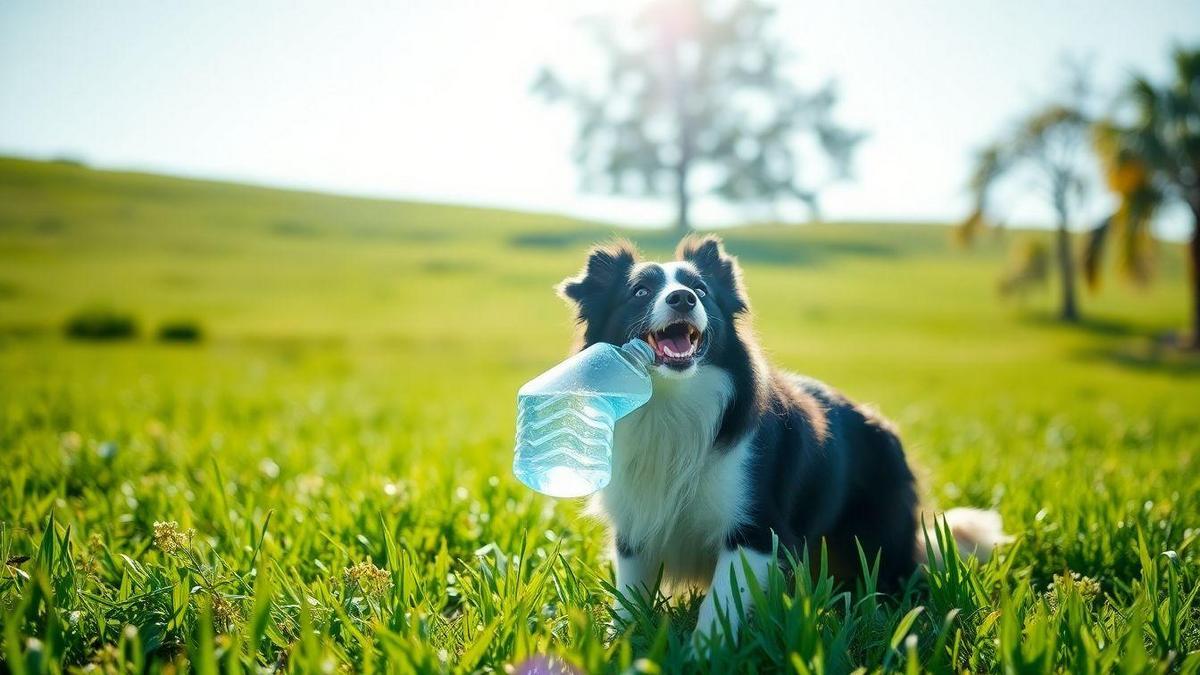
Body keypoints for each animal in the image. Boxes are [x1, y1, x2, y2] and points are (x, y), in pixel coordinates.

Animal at [556, 234, 1008, 643]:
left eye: (701, 291)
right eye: (640, 291)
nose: (683, 299)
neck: (672, 402)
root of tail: (883, 425)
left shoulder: (756, 530)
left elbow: (717, 609)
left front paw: (703, 655)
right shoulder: (636, 529)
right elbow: (628, 603)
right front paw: (617, 646)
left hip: (880, 540)